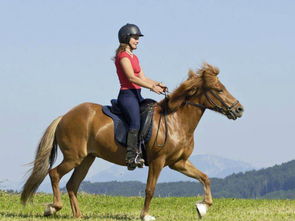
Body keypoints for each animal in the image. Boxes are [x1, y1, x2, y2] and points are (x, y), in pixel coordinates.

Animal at [20, 62, 243, 221]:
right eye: (219, 89)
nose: (239, 109)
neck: (175, 120)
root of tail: (64, 116)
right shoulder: (158, 162)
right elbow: (150, 189)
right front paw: (145, 215)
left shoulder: (178, 163)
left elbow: (205, 177)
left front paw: (202, 207)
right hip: (74, 157)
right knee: (54, 174)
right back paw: (52, 208)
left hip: (87, 159)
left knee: (72, 184)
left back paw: (78, 215)